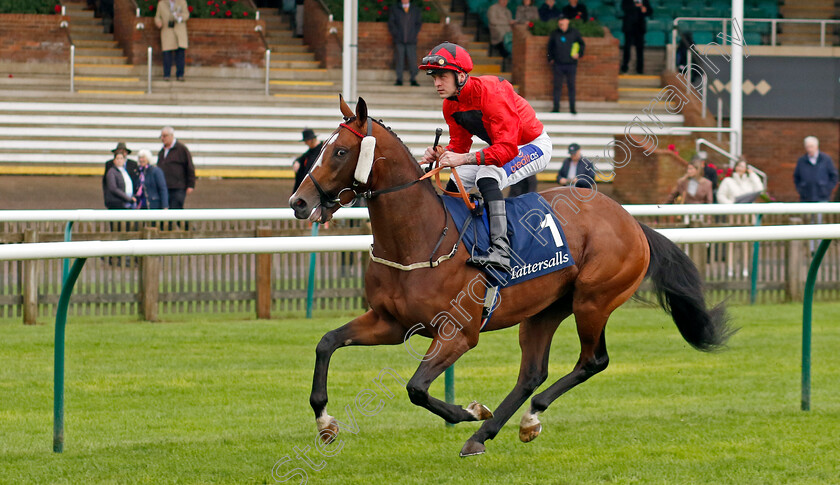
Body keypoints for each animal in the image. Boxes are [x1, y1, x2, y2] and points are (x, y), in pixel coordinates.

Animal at [286, 96, 732, 456]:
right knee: (532, 373)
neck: (421, 236)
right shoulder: (390, 322)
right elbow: (327, 343)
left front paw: (468, 410)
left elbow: (416, 388)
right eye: (320, 149)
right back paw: (491, 432)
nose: (298, 202)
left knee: (593, 361)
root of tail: (632, 222)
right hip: (544, 310)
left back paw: (523, 419)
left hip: (594, 300)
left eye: (340, 151)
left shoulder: (458, 333)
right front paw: (325, 422)